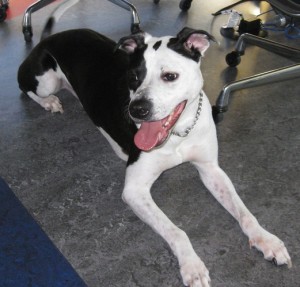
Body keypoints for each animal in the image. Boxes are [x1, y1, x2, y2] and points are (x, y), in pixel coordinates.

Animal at [17, 25, 292, 286]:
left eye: (170, 76)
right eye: (133, 77)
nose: (137, 110)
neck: (178, 133)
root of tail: (51, 36)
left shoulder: (212, 170)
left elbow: (245, 213)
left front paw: (266, 239)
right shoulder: (134, 191)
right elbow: (177, 231)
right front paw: (192, 266)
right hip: (45, 81)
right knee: (26, 87)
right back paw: (49, 102)